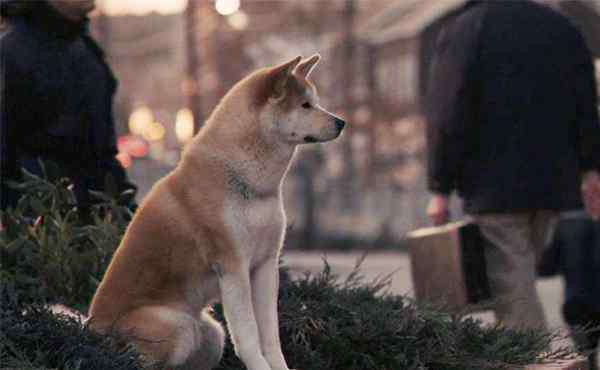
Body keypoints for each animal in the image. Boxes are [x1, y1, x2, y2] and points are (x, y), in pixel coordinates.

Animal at [86, 55, 344, 370]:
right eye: (305, 105)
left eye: (315, 102)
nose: (341, 122)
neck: (246, 183)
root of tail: (90, 329)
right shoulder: (233, 266)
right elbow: (248, 336)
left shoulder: (265, 265)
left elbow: (271, 337)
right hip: (177, 326)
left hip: (211, 335)